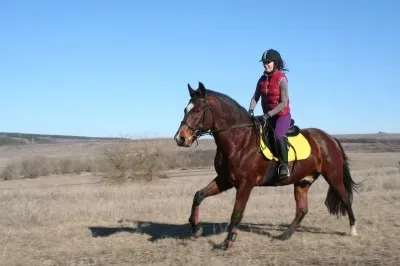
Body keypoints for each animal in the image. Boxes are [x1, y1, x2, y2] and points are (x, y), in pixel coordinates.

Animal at [173, 82, 360, 250]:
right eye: (185, 109)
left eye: (197, 111)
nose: (180, 138)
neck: (239, 139)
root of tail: (330, 138)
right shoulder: (224, 180)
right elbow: (198, 195)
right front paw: (196, 228)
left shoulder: (245, 184)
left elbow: (236, 213)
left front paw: (227, 242)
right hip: (302, 182)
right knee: (302, 209)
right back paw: (284, 235)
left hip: (333, 176)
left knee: (345, 198)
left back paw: (353, 229)